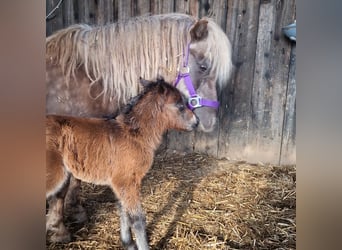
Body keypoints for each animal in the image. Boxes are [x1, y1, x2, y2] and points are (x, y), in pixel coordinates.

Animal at [46, 78, 199, 248]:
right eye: (180, 105)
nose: (196, 122)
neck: (134, 135)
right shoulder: (127, 181)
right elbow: (137, 219)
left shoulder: (121, 182)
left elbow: (123, 209)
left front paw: (128, 243)